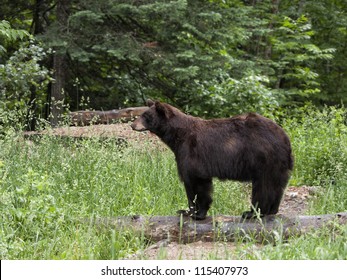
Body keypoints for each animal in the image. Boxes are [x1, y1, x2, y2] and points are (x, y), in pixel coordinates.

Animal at [130, 99, 294, 220]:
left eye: (146, 116)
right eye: (142, 114)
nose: (132, 124)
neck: (178, 136)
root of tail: (285, 138)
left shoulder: (192, 153)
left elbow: (196, 182)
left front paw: (197, 213)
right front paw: (185, 211)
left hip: (264, 159)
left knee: (263, 186)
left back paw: (253, 212)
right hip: (278, 165)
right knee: (277, 186)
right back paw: (272, 210)